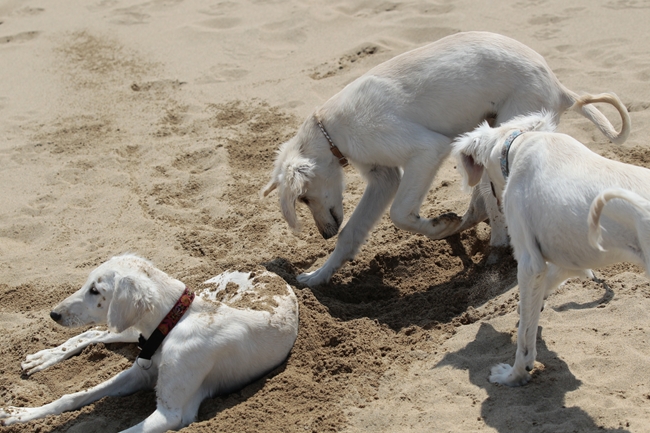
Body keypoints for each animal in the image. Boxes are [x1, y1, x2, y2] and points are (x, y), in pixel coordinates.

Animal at [0, 255, 298, 430]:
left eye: (95, 290)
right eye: (87, 283)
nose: (54, 314)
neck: (175, 321)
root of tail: (266, 269)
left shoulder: (172, 412)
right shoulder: (138, 373)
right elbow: (72, 396)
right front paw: (19, 414)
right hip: (131, 329)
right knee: (96, 334)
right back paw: (43, 358)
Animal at [262, 31, 628, 286]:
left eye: (303, 198)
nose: (323, 234)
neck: (331, 128)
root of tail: (559, 85)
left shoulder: (427, 149)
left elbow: (400, 214)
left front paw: (439, 226)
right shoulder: (383, 178)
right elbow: (351, 232)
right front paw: (319, 276)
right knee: (491, 202)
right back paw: (493, 243)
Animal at [450, 99, 644, 386]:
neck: (519, 143)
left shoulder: (530, 263)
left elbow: (523, 335)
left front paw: (515, 375)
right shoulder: (569, 258)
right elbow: (540, 296)